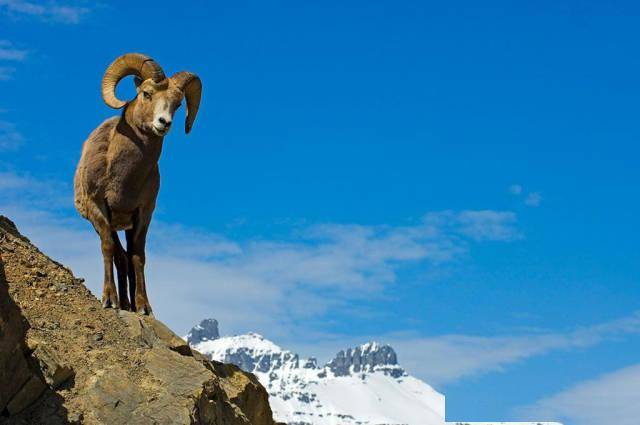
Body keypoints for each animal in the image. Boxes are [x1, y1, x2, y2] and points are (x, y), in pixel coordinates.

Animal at [74, 53, 201, 314]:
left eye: (178, 104)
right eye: (147, 94)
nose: (164, 123)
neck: (123, 180)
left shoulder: (143, 213)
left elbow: (138, 256)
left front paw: (143, 306)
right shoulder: (98, 209)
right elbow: (108, 249)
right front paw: (109, 300)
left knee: (126, 257)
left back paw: (129, 304)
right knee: (118, 256)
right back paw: (121, 303)